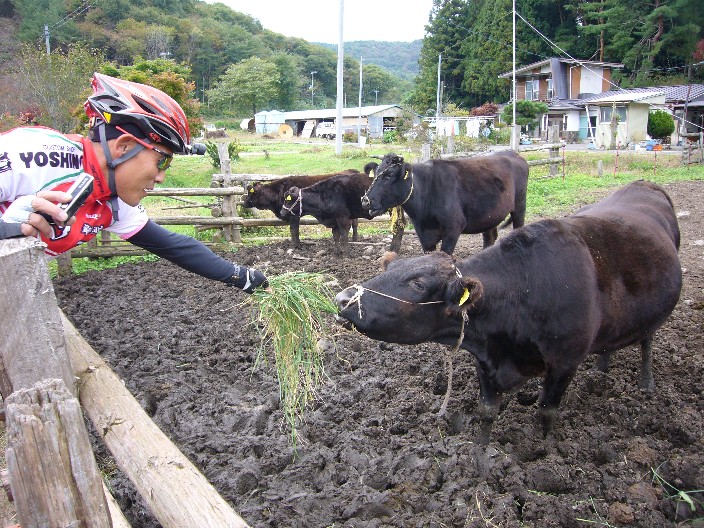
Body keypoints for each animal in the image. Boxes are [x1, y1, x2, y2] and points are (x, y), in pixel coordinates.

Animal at [336, 180, 682, 442]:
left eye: (418, 284)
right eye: (391, 267)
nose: (342, 298)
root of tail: (646, 185)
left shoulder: (564, 363)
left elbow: (547, 412)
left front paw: (544, 450)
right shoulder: (486, 360)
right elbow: (487, 412)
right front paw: (481, 455)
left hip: (653, 316)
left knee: (647, 342)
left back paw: (646, 383)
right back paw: (601, 369)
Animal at [361, 150, 529, 255]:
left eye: (389, 175)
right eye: (375, 173)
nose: (365, 200)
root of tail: (512, 153)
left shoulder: (453, 228)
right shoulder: (424, 236)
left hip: (520, 206)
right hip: (489, 216)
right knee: (490, 237)